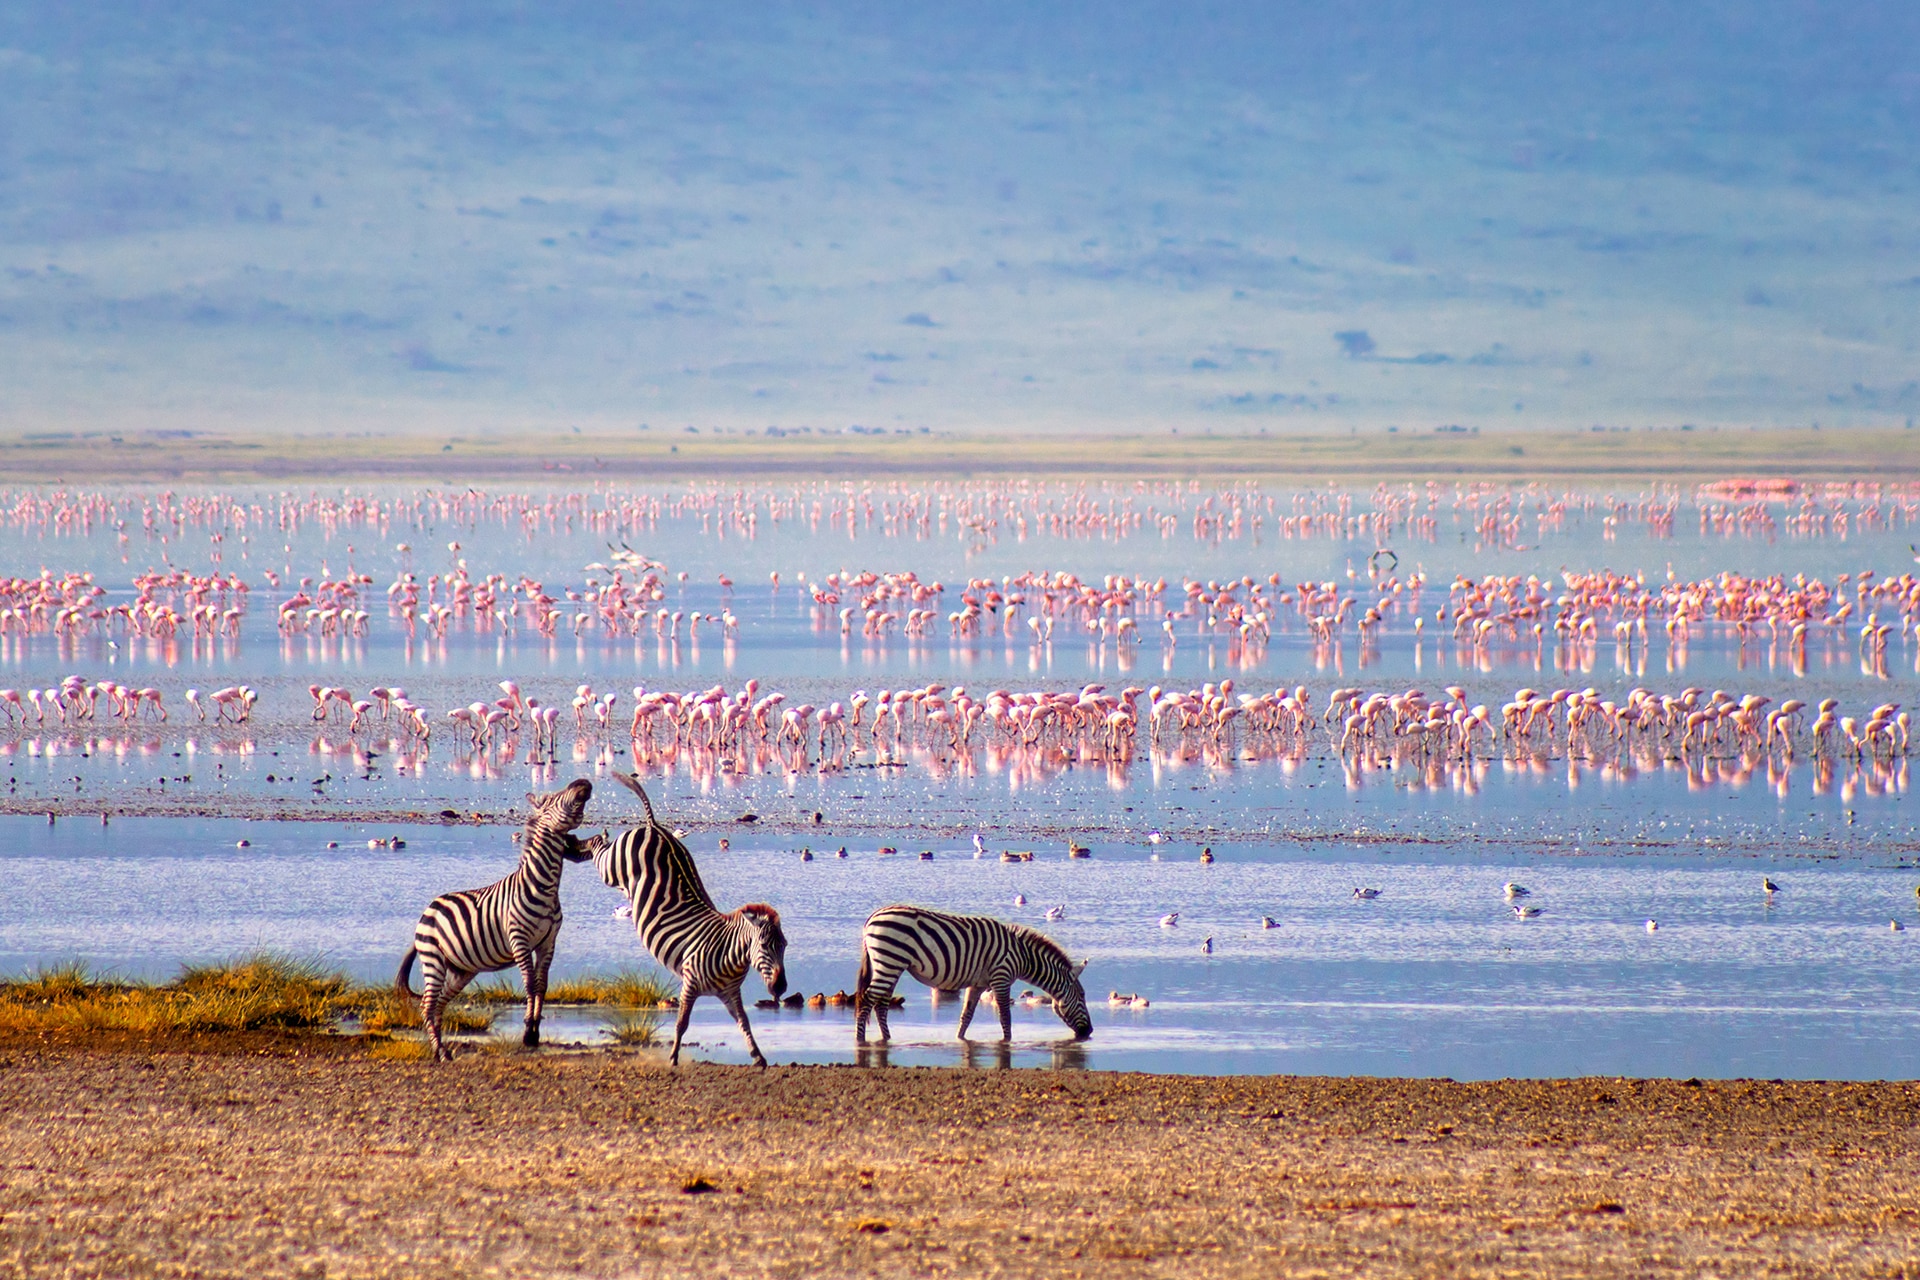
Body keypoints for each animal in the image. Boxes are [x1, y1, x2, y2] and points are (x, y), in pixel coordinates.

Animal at [395, 778, 600, 1060]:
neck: (545, 885)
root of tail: (429, 908)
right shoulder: (520, 940)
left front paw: (535, 1033)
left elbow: (542, 986)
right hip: (433, 959)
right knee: (427, 1005)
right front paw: (528, 1032)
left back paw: (442, 1049)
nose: (583, 782)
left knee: (439, 1004)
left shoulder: (548, 943)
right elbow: (530, 985)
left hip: (461, 969)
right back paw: (440, 1052)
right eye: (550, 799)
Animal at [595, 771, 788, 1067]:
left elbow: (744, 1022)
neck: (730, 954)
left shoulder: (730, 994)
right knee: (597, 848)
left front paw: (758, 1056)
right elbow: (682, 1023)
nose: (782, 986)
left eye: (785, 946)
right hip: (611, 868)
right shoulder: (689, 984)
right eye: (766, 946)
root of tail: (654, 827)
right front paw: (674, 1057)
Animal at [854, 905, 1092, 1044]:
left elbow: (966, 1016)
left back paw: (887, 1038)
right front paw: (1007, 1042)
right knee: (866, 1000)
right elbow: (1005, 1016)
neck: (1022, 955)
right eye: (1082, 996)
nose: (1089, 1031)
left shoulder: (977, 984)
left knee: (881, 1003)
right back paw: (860, 1040)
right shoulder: (1001, 977)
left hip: (891, 965)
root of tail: (872, 917)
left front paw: (960, 1039)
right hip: (889, 961)